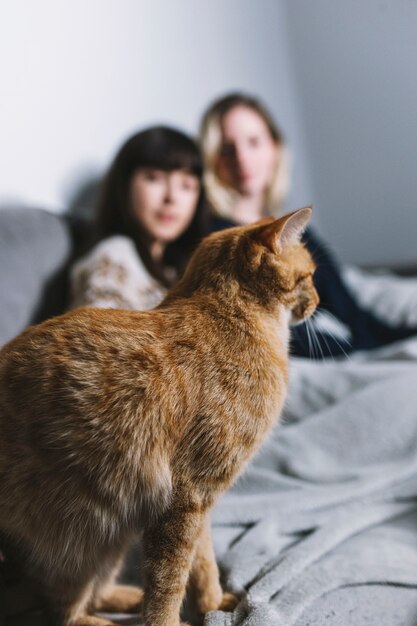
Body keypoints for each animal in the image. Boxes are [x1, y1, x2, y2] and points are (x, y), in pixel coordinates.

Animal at [0, 207, 316, 620]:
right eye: (310, 275)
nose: (318, 301)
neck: (234, 317)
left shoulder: (201, 501)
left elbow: (203, 561)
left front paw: (212, 603)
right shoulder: (185, 497)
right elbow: (170, 579)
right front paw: (171, 620)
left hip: (112, 540)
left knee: (95, 594)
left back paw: (128, 597)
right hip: (83, 539)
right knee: (64, 613)